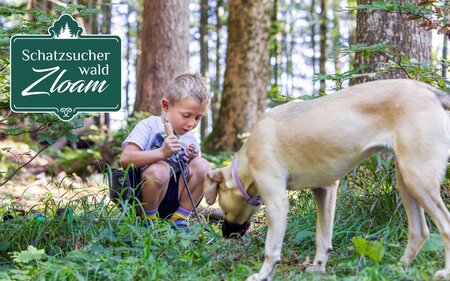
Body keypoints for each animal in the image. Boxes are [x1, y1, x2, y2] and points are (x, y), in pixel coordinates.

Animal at [203, 79, 450, 280]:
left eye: (223, 208)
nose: (225, 235)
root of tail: (430, 91)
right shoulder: (325, 190)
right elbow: (322, 237)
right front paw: (318, 267)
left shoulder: (277, 203)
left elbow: (271, 249)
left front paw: (264, 274)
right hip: (406, 180)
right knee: (420, 232)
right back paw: (399, 268)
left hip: (418, 179)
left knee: (445, 226)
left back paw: (443, 272)